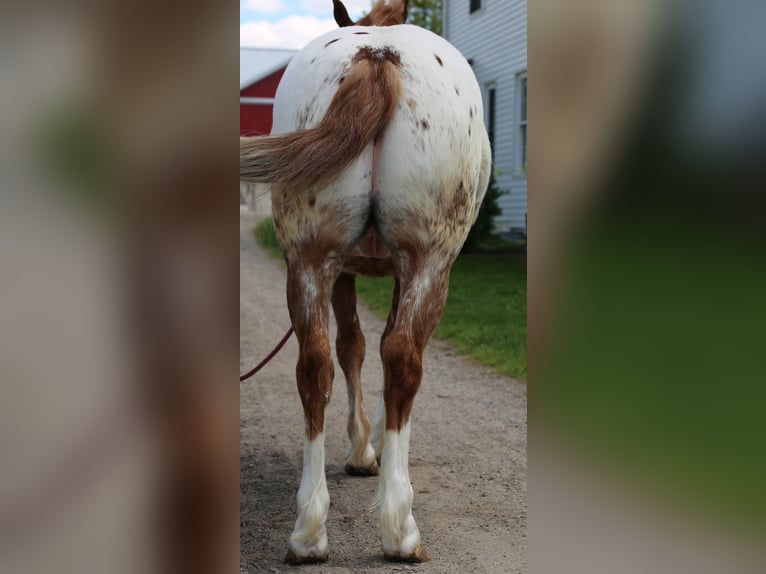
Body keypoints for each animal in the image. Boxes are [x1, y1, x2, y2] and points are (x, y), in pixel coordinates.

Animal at [240, 0, 491, 563]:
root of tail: (377, 56)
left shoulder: (343, 269)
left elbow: (353, 348)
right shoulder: (386, 270)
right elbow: (369, 347)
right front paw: (365, 448)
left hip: (309, 259)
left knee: (314, 366)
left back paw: (308, 532)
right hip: (429, 261)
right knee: (401, 359)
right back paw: (399, 527)